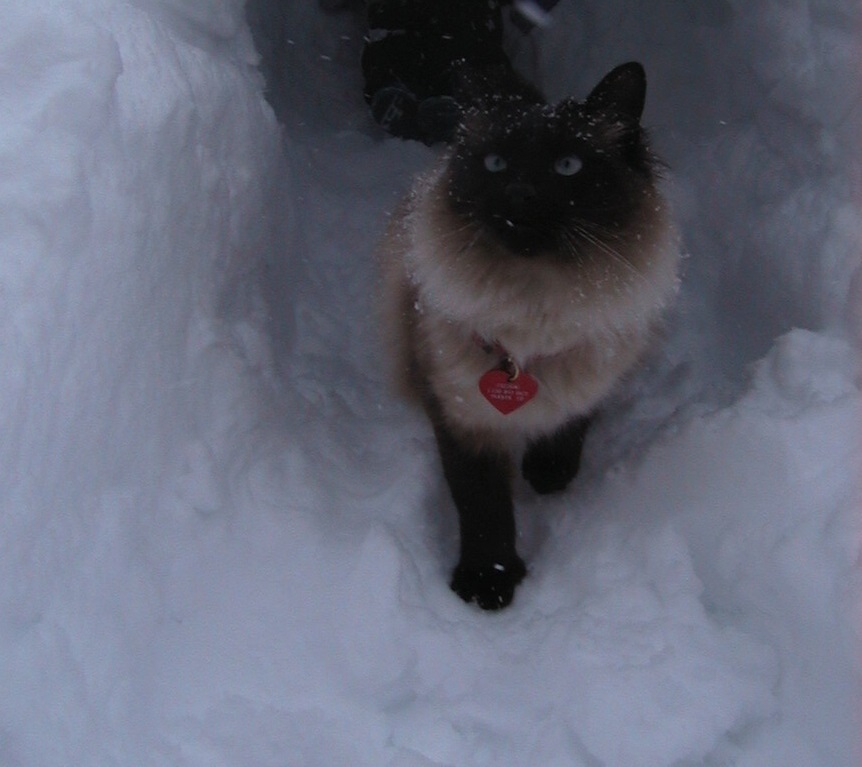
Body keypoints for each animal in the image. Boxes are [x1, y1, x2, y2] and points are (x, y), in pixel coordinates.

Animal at [378, 61, 680, 612]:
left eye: (567, 166)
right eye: (496, 164)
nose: (520, 193)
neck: (534, 314)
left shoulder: (595, 363)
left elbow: (571, 422)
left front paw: (548, 475)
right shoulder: (460, 415)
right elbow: (483, 507)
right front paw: (487, 585)